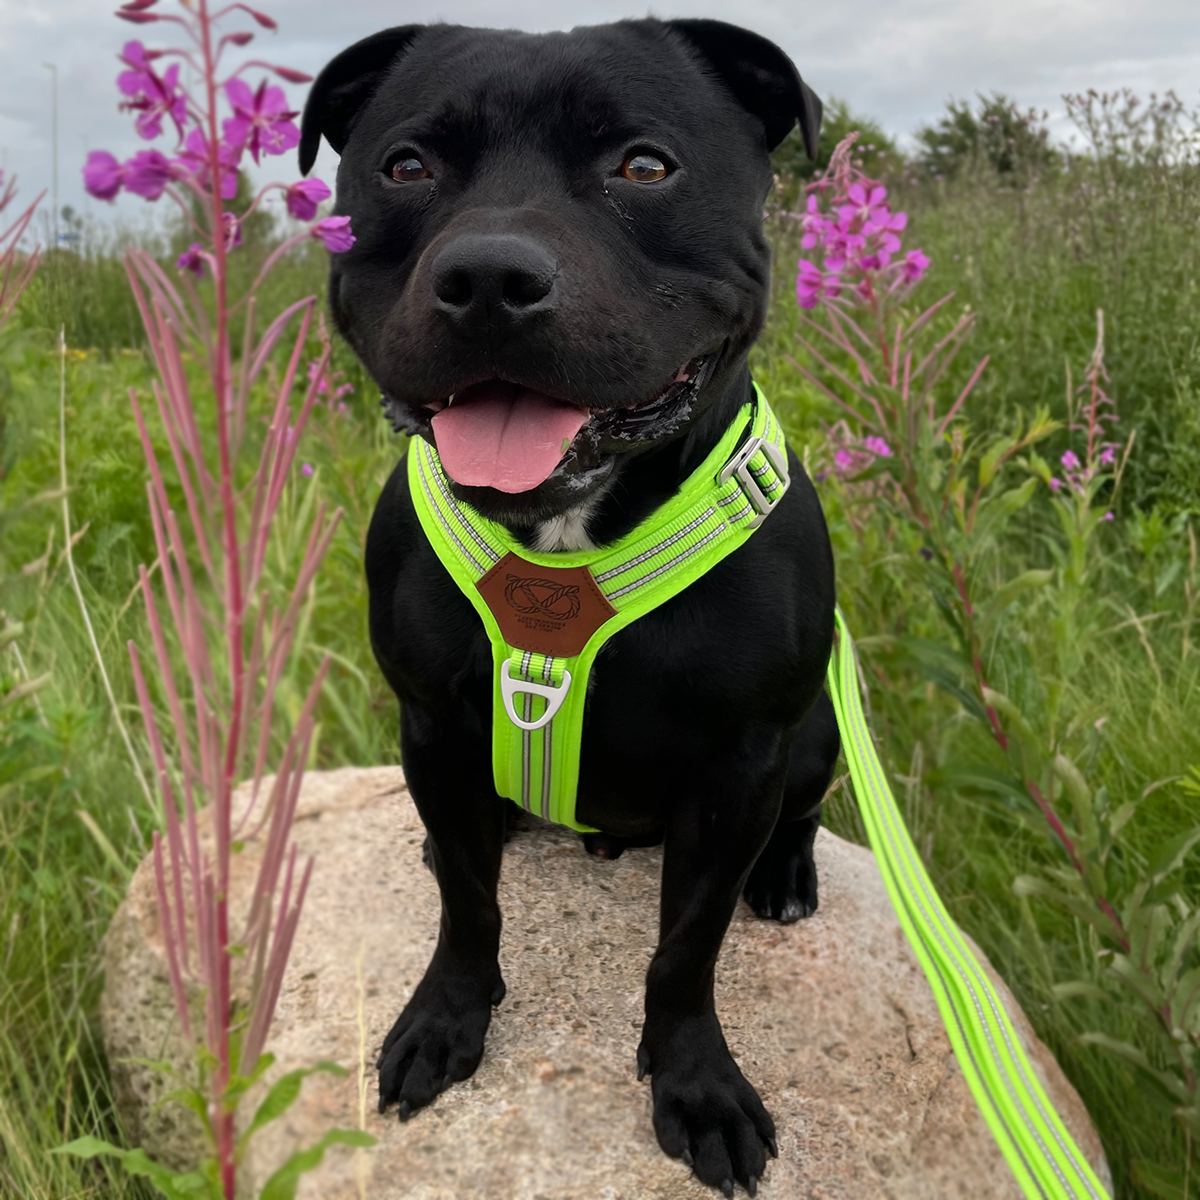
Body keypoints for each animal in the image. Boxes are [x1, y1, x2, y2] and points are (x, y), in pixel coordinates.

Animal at [300, 23, 840, 1195]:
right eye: (405, 166)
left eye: (644, 165)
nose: (489, 278)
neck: (562, 536)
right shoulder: (431, 727)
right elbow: (468, 903)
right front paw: (446, 1021)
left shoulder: (740, 764)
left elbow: (686, 951)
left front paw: (696, 1085)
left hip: (815, 733)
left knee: (802, 810)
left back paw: (784, 874)